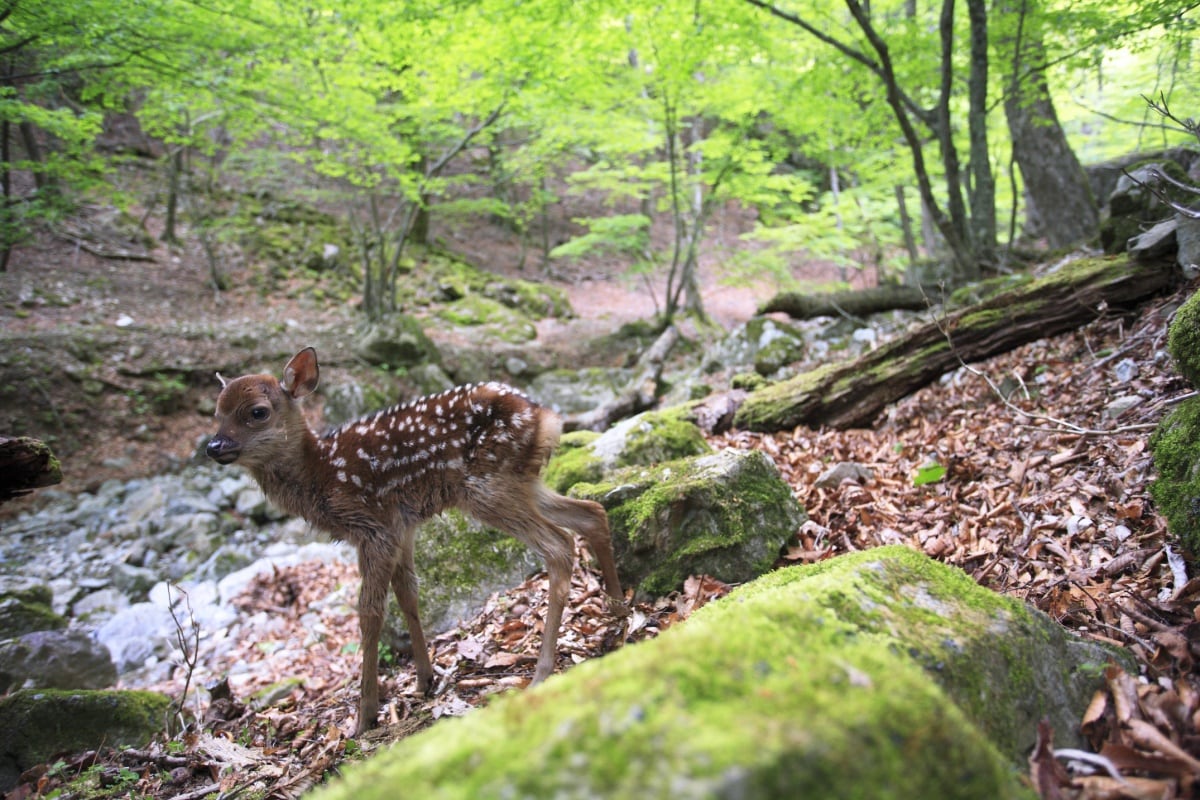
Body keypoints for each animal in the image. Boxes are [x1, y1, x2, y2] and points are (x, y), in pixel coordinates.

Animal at [206, 347, 628, 734]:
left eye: (258, 412)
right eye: (217, 413)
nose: (213, 447)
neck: (321, 474)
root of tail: (546, 418)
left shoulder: (372, 527)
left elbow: (370, 613)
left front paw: (365, 715)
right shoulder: (402, 526)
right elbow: (408, 593)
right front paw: (425, 679)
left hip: (487, 486)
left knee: (559, 545)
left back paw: (542, 671)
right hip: (522, 481)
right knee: (592, 512)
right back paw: (619, 613)